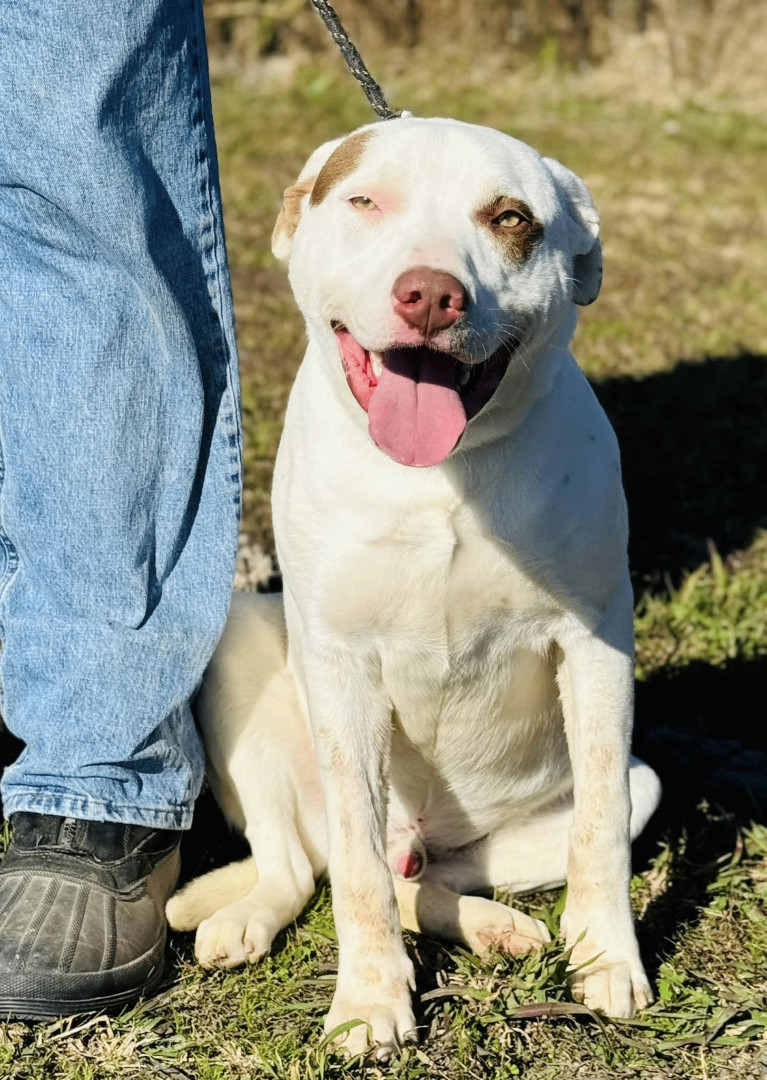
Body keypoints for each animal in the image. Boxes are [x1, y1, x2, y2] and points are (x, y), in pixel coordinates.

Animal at [168, 116, 661, 1054]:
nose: (429, 295)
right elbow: (358, 872)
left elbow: (598, 827)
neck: (442, 473)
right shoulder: (339, 663)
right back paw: (245, 918)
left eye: (509, 218)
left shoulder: (594, 644)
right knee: (310, 866)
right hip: (236, 653)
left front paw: (606, 959)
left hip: (573, 809)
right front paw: (368, 1001)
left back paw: (498, 927)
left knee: (431, 877)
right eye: (365, 201)